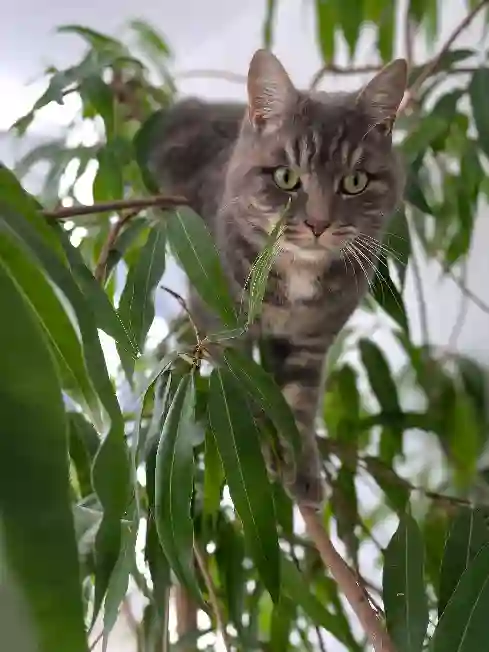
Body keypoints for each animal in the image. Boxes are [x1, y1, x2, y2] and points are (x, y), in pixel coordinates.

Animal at [150, 51, 408, 510]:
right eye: (286, 177)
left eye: (355, 181)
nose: (319, 223)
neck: (297, 274)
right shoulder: (221, 322)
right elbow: (247, 382)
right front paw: (264, 442)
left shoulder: (312, 339)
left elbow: (299, 402)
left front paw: (301, 464)